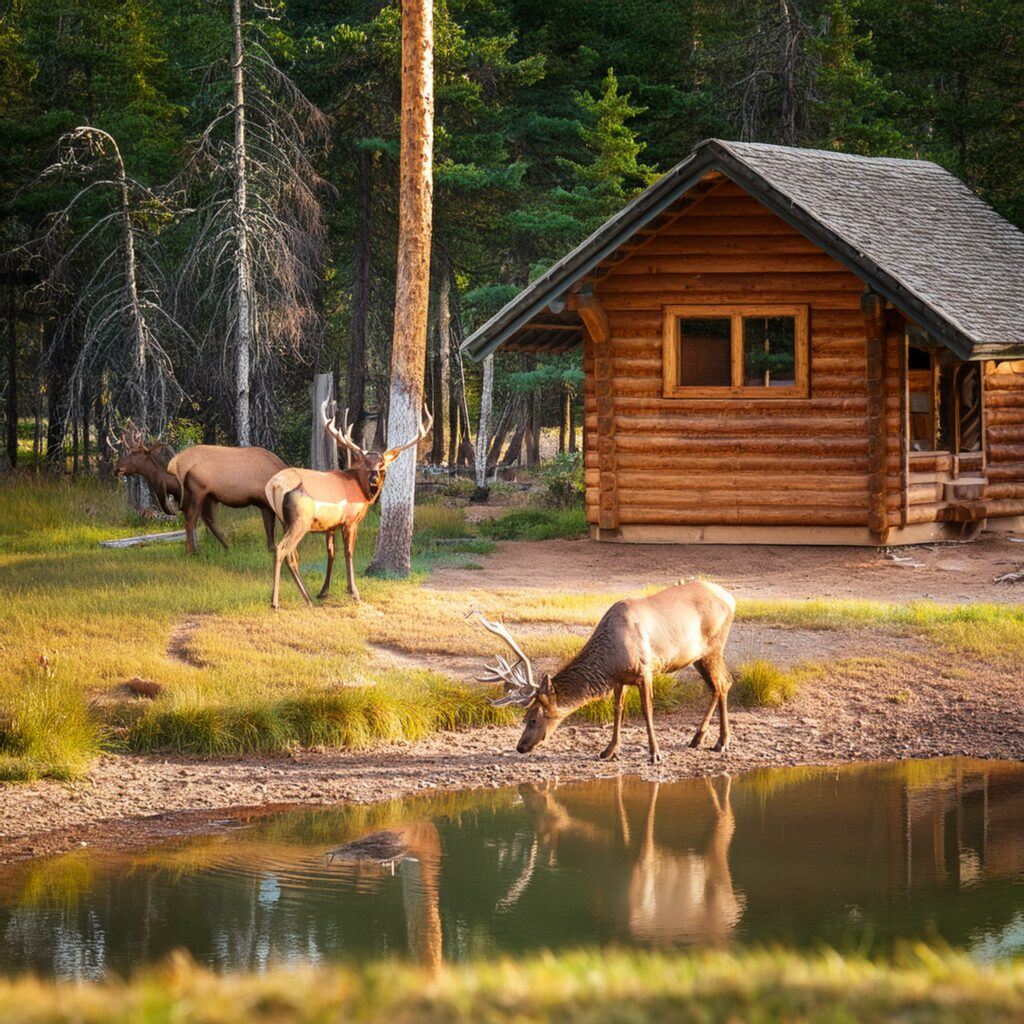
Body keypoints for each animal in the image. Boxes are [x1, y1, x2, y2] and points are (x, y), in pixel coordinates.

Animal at [264, 397, 432, 606]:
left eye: (382, 464)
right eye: (366, 463)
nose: (374, 478)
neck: (360, 492)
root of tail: (273, 486)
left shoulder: (330, 525)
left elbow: (331, 553)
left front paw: (324, 591)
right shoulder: (351, 520)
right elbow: (349, 553)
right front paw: (354, 593)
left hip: (284, 520)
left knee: (291, 555)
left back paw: (308, 598)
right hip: (300, 519)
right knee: (282, 549)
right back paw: (275, 602)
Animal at [471, 581, 737, 765]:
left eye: (533, 719)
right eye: (524, 718)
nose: (520, 746)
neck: (610, 659)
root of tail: (731, 599)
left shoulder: (645, 670)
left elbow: (647, 710)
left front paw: (655, 754)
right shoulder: (619, 679)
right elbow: (617, 711)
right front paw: (608, 751)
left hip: (714, 647)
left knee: (724, 683)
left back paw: (721, 743)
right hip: (698, 657)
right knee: (718, 686)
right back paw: (698, 739)